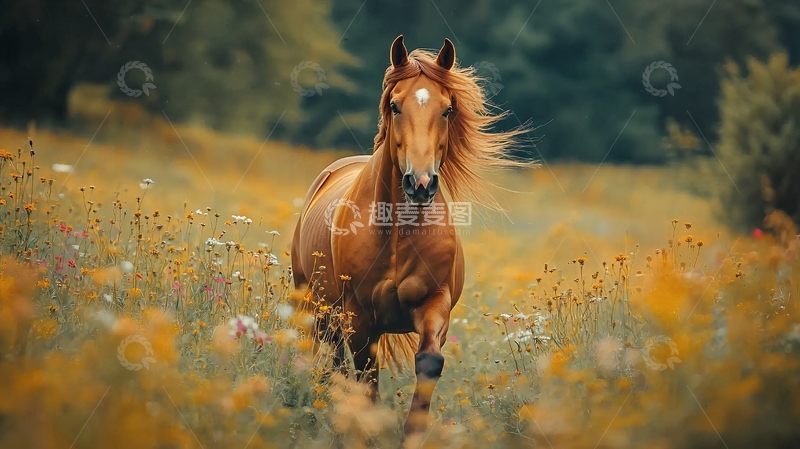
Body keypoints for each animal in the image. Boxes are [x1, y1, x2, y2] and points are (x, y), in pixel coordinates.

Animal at [291, 35, 528, 439]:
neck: (396, 234)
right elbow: (365, 375)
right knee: (336, 364)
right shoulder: (359, 317)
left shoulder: (435, 303)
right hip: (318, 310)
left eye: (447, 109)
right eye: (395, 106)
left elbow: (429, 362)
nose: (420, 183)